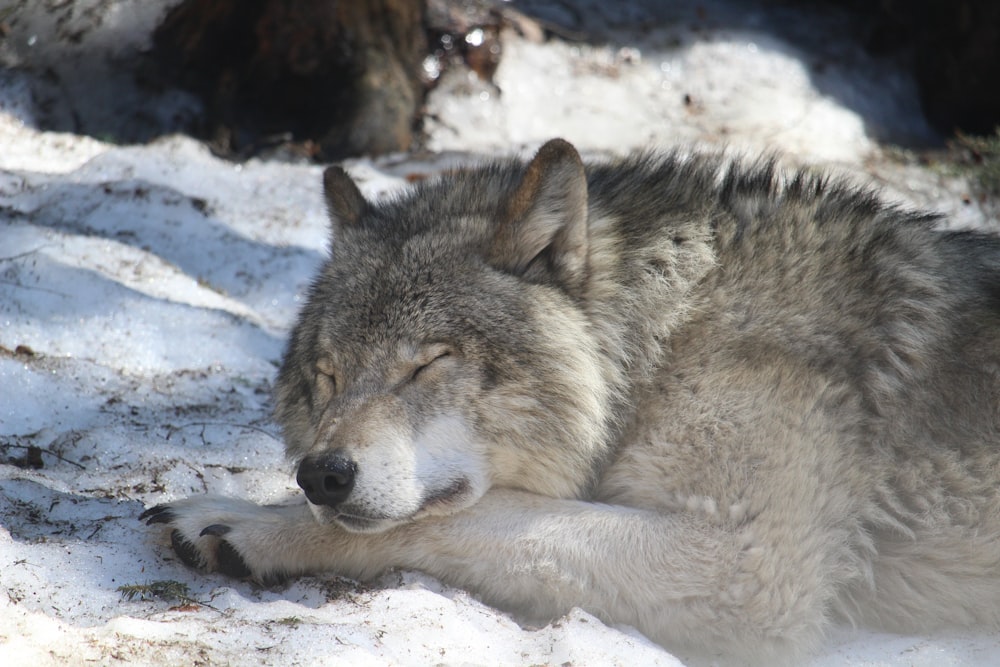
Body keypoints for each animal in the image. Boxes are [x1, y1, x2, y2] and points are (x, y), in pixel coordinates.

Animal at [141, 138, 1000, 664]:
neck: (663, 343)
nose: (321, 474)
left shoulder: (744, 565)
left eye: (428, 363)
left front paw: (250, 521)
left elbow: (463, 519)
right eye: (325, 375)